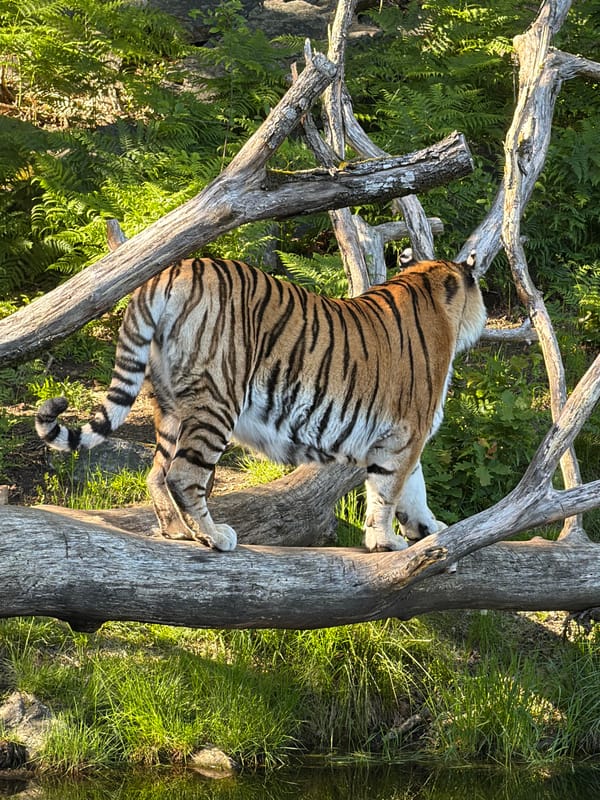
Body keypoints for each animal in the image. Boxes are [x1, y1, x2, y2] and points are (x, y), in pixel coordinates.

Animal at [35, 253, 486, 553]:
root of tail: (171, 270)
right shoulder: (405, 433)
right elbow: (388, 492)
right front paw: (384, 541)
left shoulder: (404, 438)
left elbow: (413, 488)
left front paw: (425, 527)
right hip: (218, 399)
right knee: (184, 474)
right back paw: (214, 536)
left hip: (170, 405)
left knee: (157, 473)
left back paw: (178, 532)